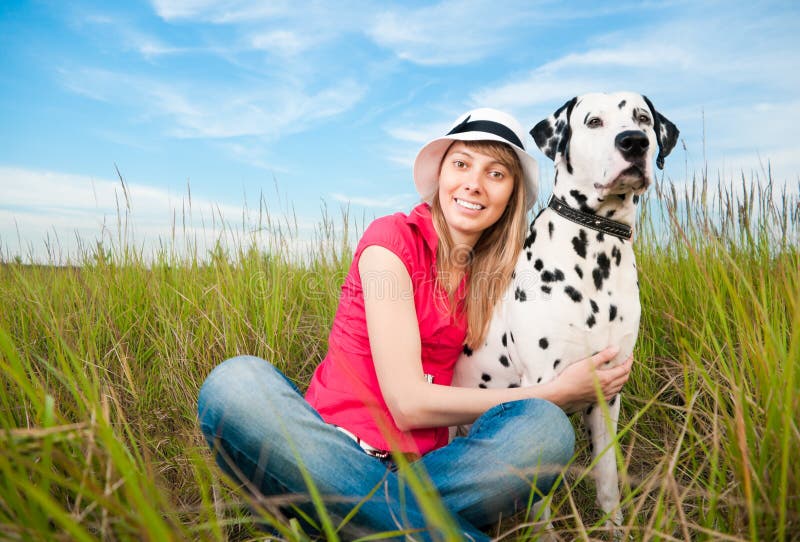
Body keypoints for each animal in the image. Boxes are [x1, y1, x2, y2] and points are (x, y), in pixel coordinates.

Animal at [454, 92, 680, 532]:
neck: (597, 245)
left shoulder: (609, 393)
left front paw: (614, 527)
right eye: (593, 121)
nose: (634, 142)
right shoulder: (542, 385)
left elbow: (608, 478)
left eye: (643, 118)